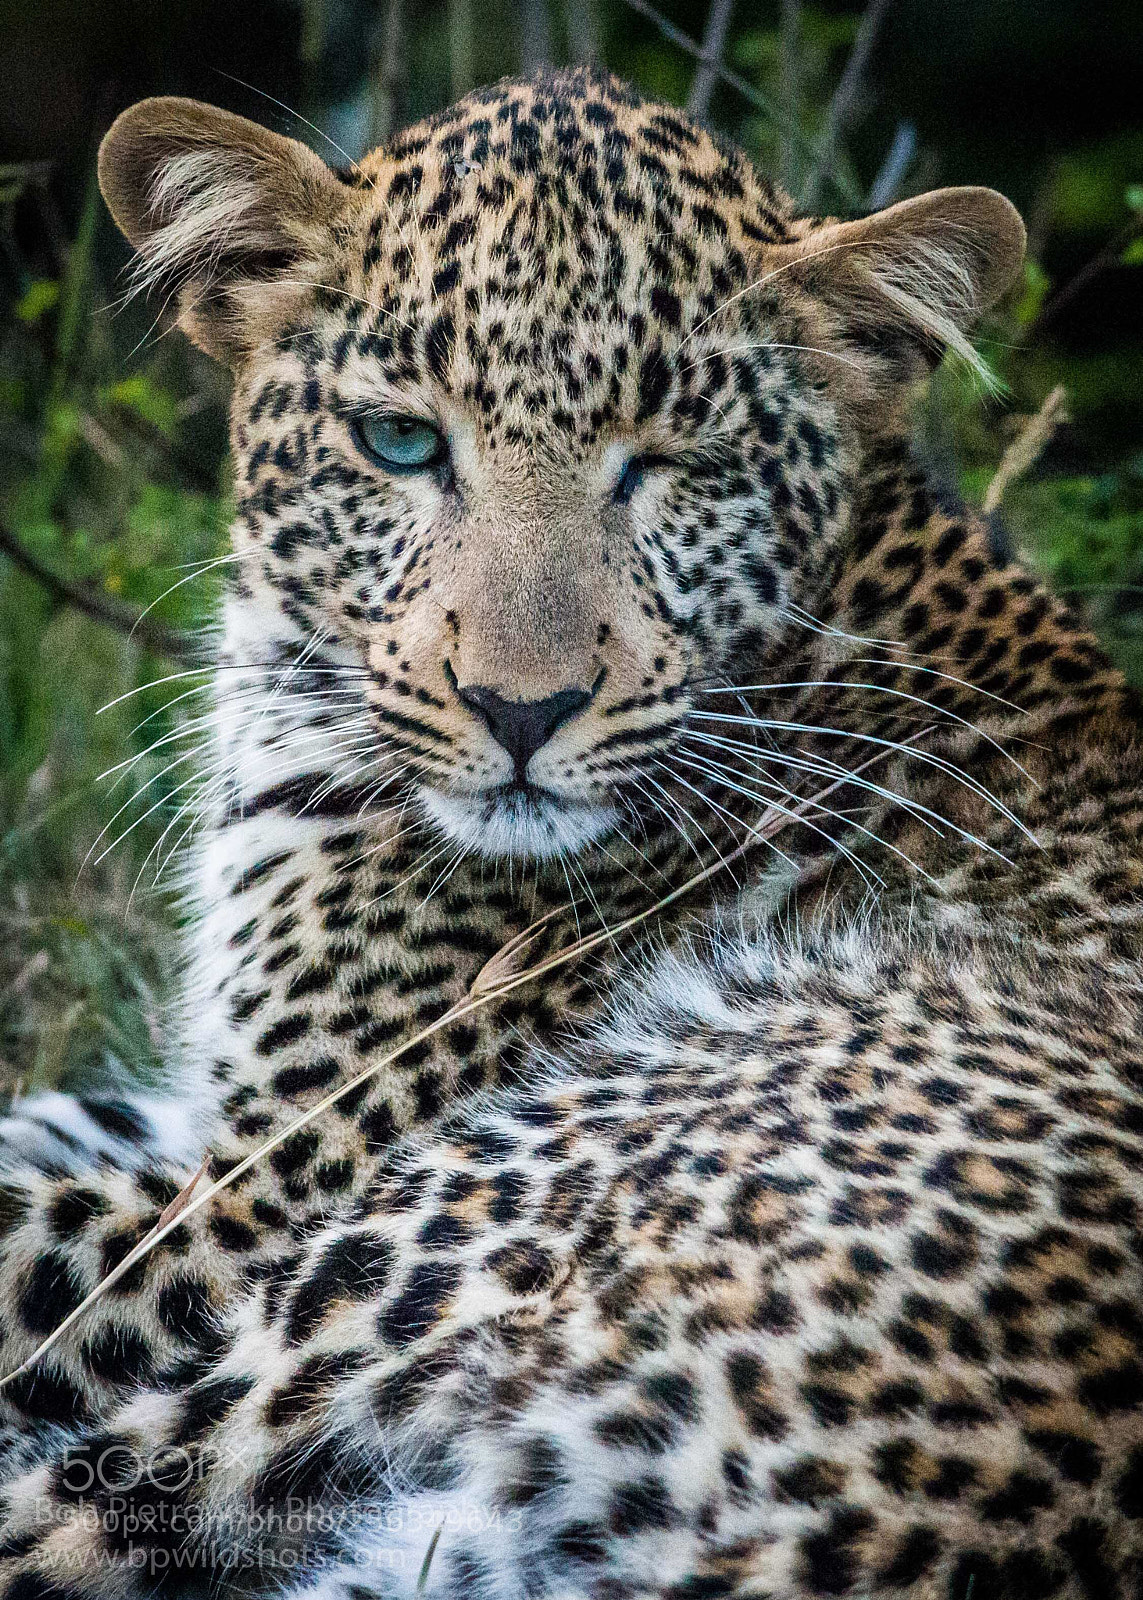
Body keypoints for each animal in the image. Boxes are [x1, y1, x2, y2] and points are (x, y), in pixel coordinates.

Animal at [0, 63, 1140, 1600]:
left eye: (671, 466)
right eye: (401, 441)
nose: (519, 709)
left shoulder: (258, 1194)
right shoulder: (211, 1112)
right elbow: (43, 1113)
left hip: (439, 1234)